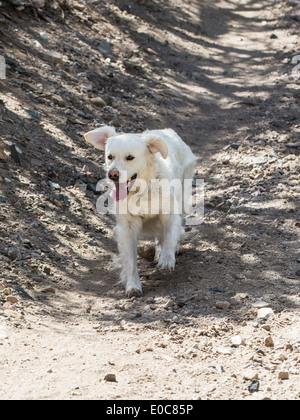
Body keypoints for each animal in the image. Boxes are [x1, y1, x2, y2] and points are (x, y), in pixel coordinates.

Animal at [85, 126, 197, 296]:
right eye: (110, 157)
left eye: (130, 157)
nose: (112, 174)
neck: (142, 190)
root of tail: (168, 131)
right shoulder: (127, 227)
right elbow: (130, 259)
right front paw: (133, 285)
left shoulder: (169, 213)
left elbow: (170, 236)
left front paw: (166, 259)